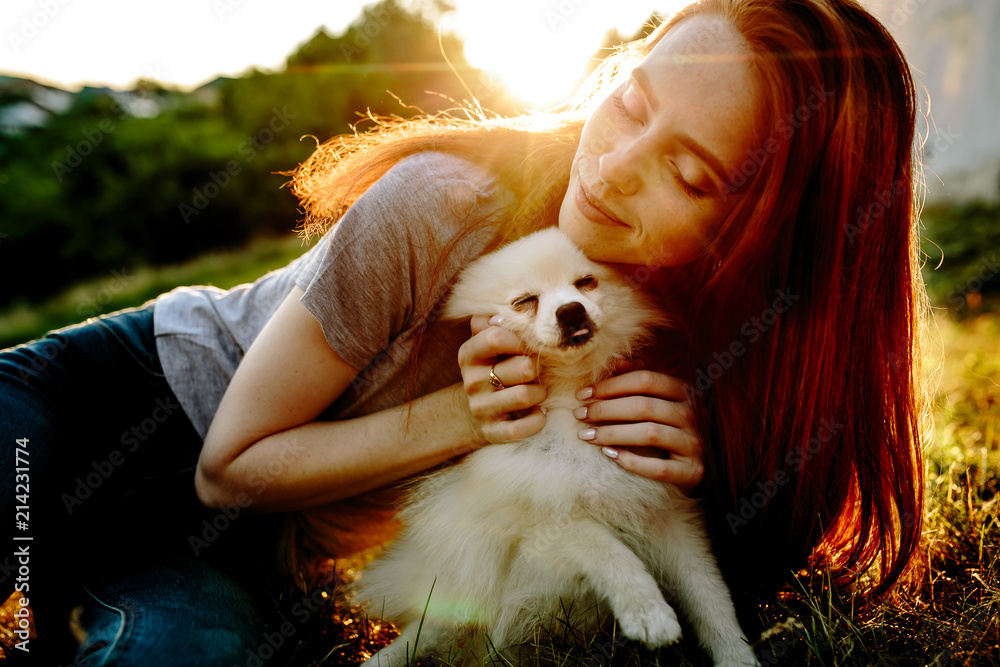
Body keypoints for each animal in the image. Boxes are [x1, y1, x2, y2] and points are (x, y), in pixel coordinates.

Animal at [356, 227, 752, 664]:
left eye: (586, 282)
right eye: (525, 301)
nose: (571, 311)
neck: (571, 401)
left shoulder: (666, 514)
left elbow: (710, 595)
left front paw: (737, 655)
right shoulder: (541, 519)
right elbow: (608, 549)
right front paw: (648, 612)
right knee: (422, 633)